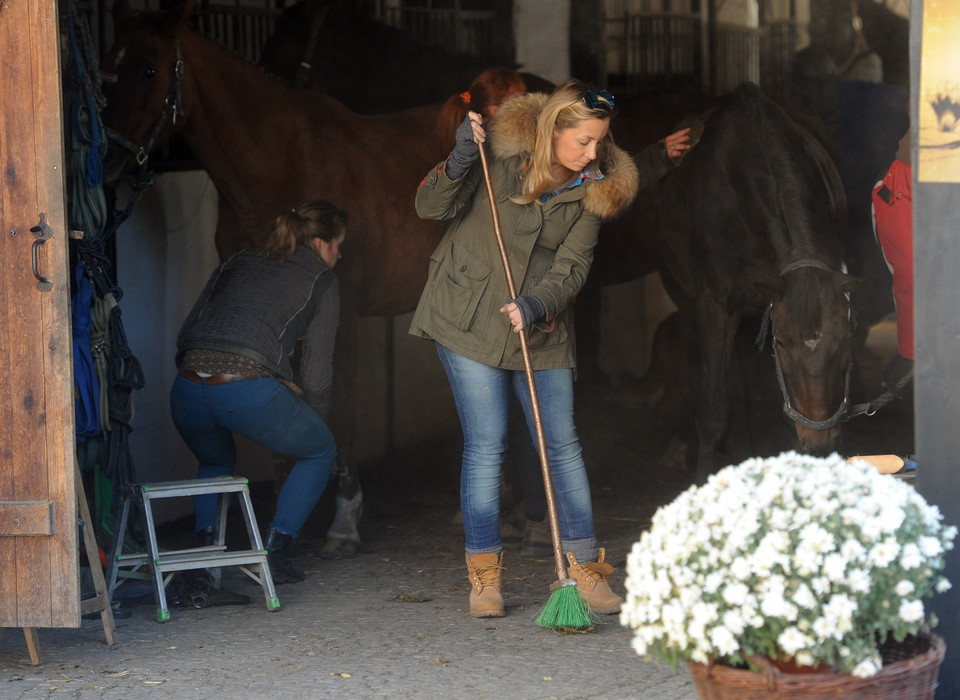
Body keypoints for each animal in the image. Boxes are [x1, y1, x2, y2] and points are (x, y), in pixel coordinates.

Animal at [103, 0, 448, 556]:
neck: (281, 162)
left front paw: (344, 520)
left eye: (150, 69)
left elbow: (340, 405)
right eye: (105, 67)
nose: (107, 159)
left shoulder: (341, 313)